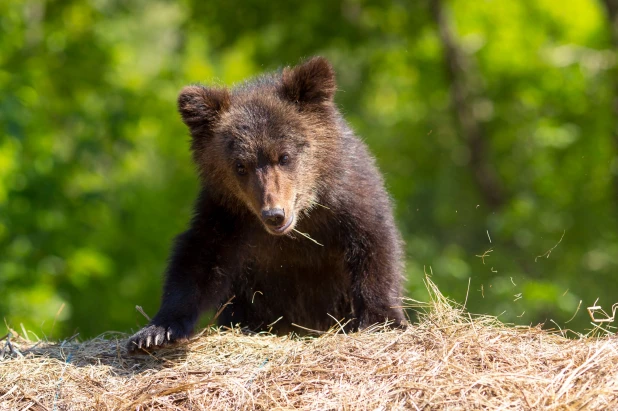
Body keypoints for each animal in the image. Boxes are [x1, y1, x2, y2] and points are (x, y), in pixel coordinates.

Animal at [125, 56, 404, 352]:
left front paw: (381, 318)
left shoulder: (347, 200)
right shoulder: (229, 216)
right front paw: (155, 332)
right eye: (240, 166)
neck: (303, 220)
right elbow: (198, 260)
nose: (274, 214)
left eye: (284, 156)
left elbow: (373, 245)